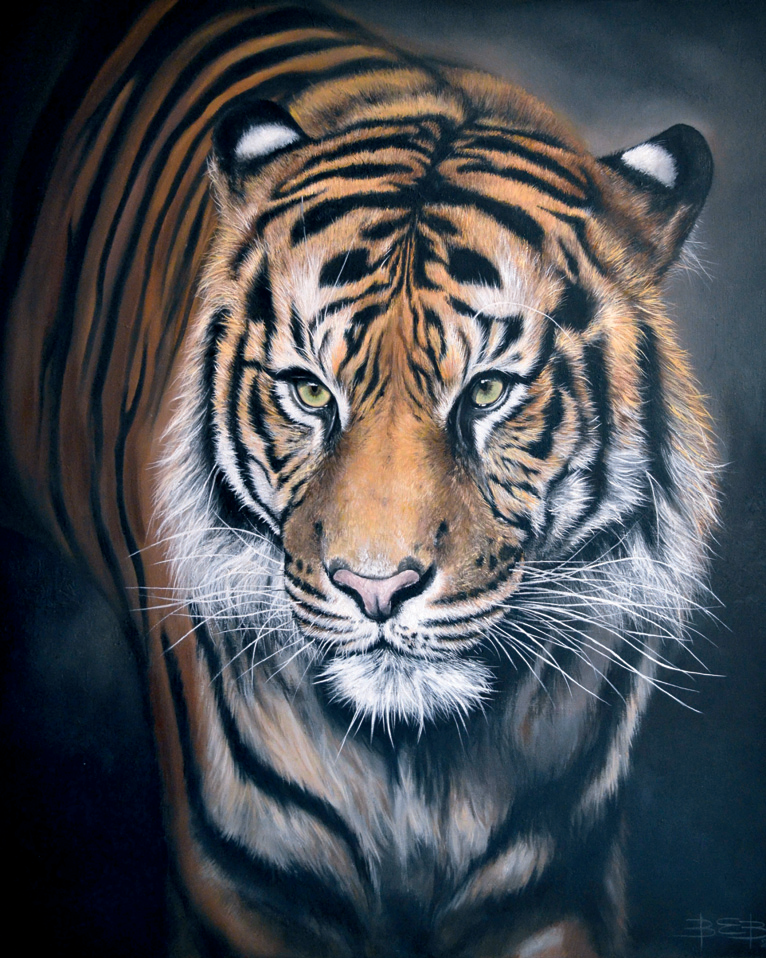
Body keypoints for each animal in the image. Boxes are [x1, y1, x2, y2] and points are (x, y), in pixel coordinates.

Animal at [0, 0, 718, 955]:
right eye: (311, 391)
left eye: (486, 390)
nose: (376, 590)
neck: (418, 763)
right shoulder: (243, 884)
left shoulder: (548, 887)